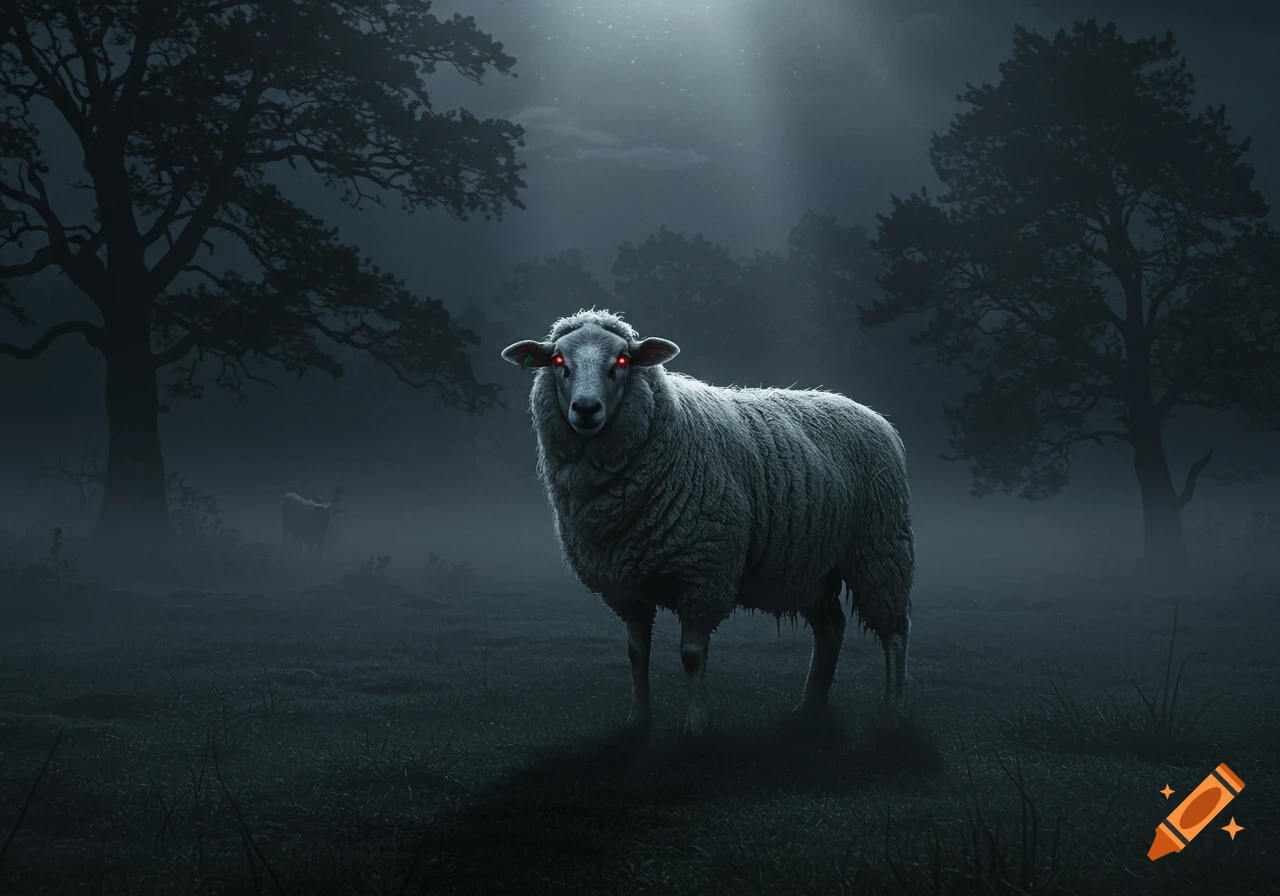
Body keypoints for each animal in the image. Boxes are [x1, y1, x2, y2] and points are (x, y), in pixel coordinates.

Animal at [501, 309, 914, 741]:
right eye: (558, 361)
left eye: (622, 361)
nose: (585, 408)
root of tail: (870, 413)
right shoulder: (627, 585)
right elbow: (636, 654)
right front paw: (637, 721)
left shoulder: (705, 571)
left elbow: (692, 656)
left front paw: (696, 727)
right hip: (810, 567)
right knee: (831, 629)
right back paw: (808, 710)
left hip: (881, 549)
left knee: (895, 633)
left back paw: (891, 715)